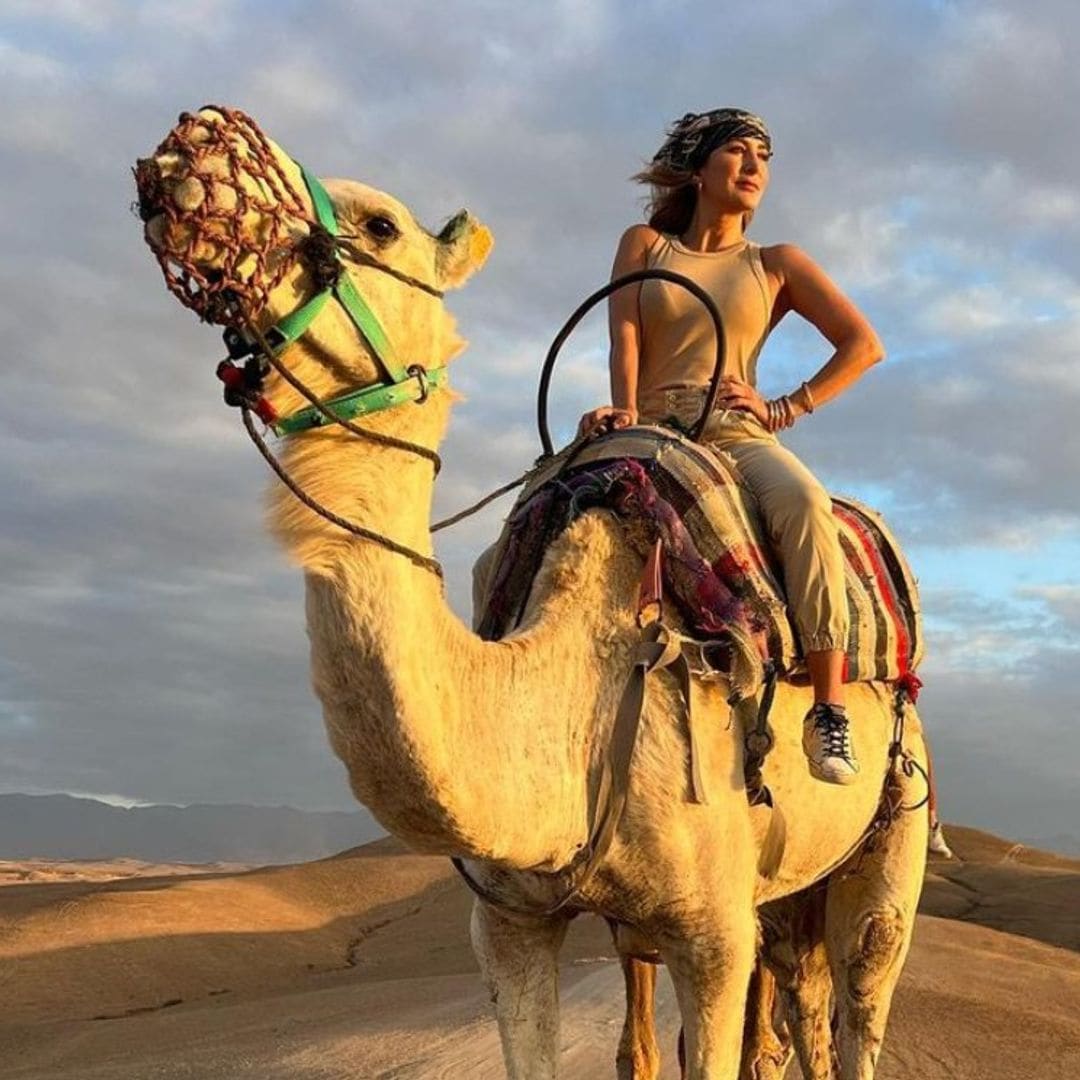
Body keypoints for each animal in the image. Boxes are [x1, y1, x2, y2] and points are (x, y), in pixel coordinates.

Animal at [135, 103, 928, 1080]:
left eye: (381, 225)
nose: (189, 147)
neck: (575, 691)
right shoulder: (511, 921)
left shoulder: (712, 934)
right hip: (778, 896)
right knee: (792, 1013)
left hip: (894, 826)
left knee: (860, 990)